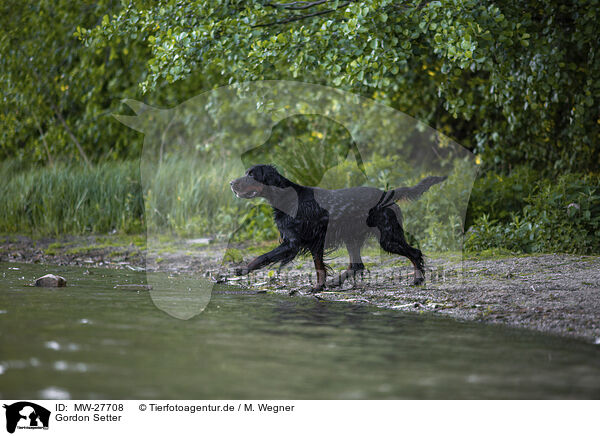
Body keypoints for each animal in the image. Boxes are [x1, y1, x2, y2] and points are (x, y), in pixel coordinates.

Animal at [230, 164, 446, 292]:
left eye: (251, 175)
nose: (231, 183)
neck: (287, 197)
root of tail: (387, 193)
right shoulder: (315, 241)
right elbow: (319, 267)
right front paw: (320, 286)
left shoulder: (293, 242)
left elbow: (263, 257)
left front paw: (242, 269)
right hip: (353, 238)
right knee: (357, 264)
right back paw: (337, 282)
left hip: (388, 237)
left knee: (415, 253)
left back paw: (418, 279)